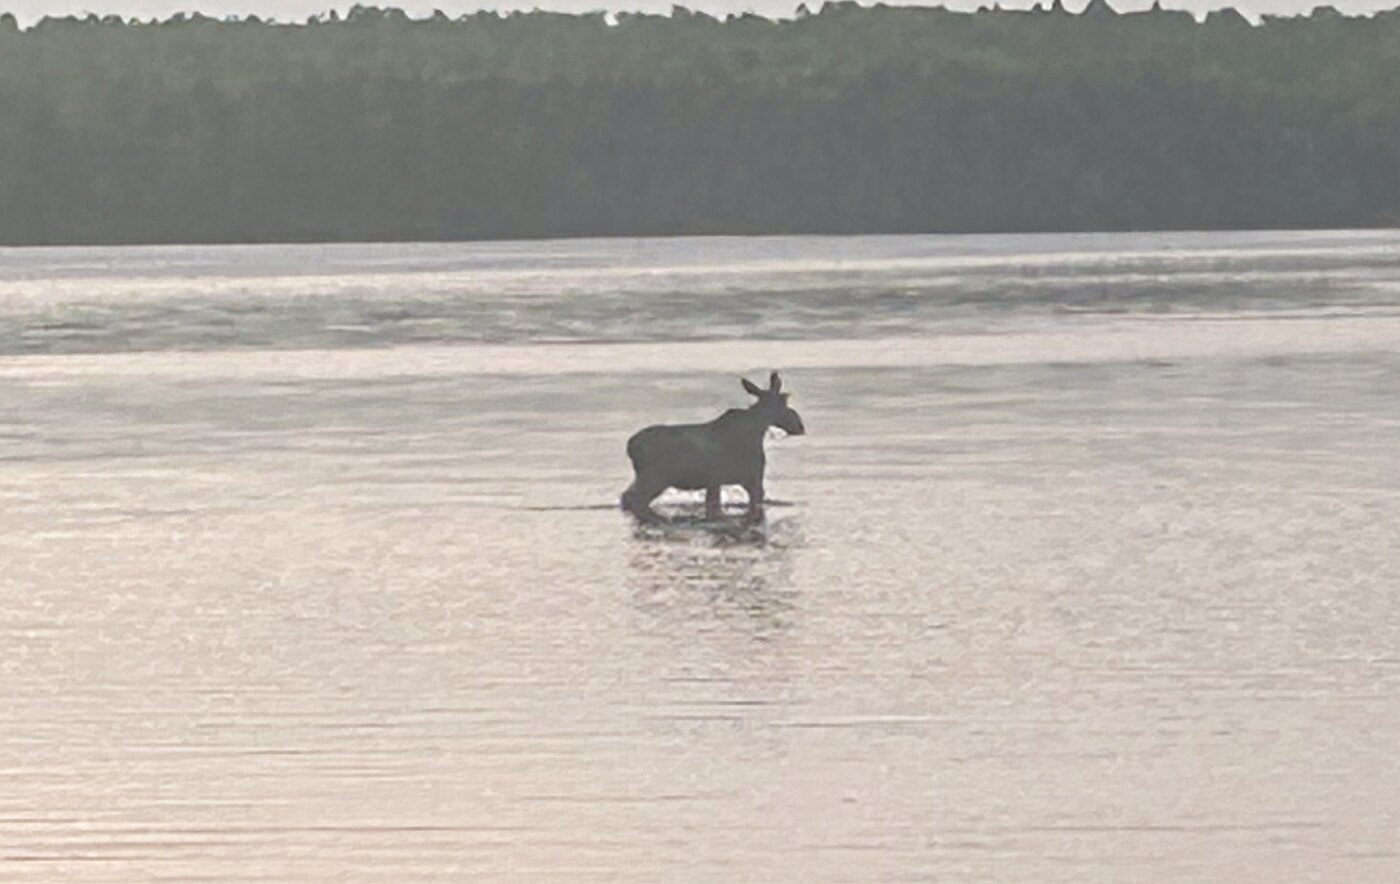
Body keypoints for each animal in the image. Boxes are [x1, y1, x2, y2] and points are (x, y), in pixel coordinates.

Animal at [621, 371, 806, 523]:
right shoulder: (752, 478)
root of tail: (630, 446)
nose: (799, 425)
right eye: (784, 401)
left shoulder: (715, 482)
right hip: (655, 477)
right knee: (633, 498)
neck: (757, 429)